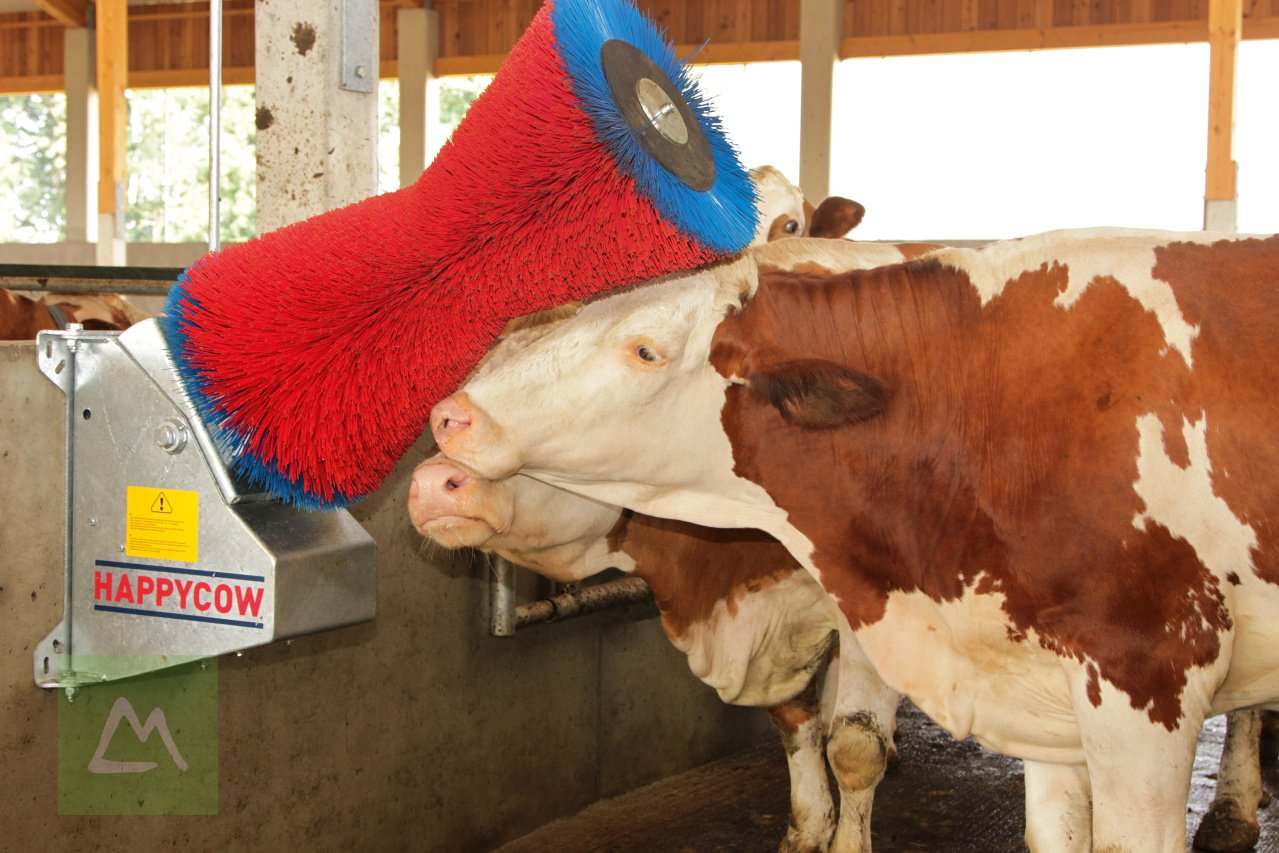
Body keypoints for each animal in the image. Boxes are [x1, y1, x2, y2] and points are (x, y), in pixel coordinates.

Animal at [429, 230, 1279, 849]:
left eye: (644, 349)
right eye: (495, 349)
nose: (440, 439)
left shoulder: (1143, 670)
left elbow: (853, 744)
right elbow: (800, 723)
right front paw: (806, 828)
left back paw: (1234, 810)